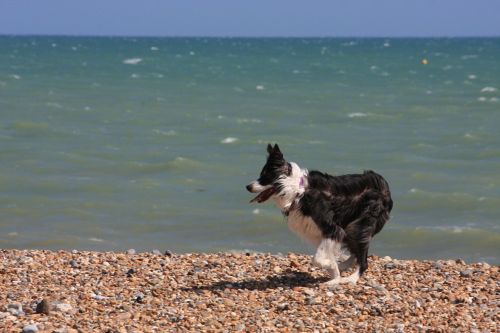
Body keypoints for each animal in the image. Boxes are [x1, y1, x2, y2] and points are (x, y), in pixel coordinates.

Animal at [248, 144, 392, 284]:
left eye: (265, 176)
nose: (247, 187)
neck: (297, 191)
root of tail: (384, 184)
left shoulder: (332, 229)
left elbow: (316, 259)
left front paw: (333, 272)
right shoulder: (321, 233)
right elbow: (326, 256)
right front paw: (335, 274)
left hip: (359, 225)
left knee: (363, 260)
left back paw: (350, 279)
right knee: (356, 253)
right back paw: (343, 267)